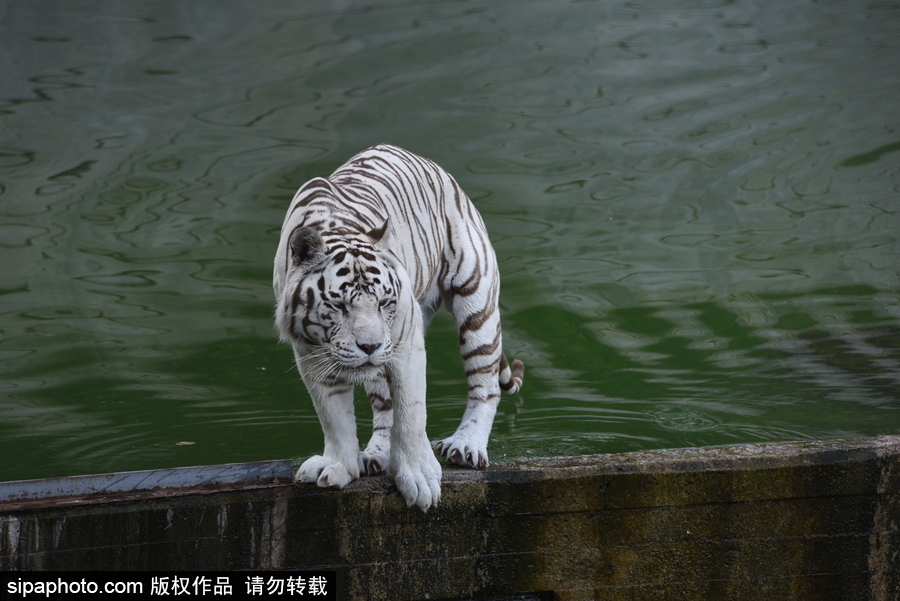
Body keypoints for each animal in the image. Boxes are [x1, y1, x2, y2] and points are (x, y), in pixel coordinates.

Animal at [273, 144, 524, 511]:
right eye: (339, 306)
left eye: (384, 303)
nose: (370, 346)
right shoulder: (310, 353)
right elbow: (334, 417)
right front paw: (339, 466)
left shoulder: (405, 343)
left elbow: (411, 413)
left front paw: (419, 479)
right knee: (384, 405)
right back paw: (375, 454)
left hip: (475, 300)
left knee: (485, 384)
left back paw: (466, 446)